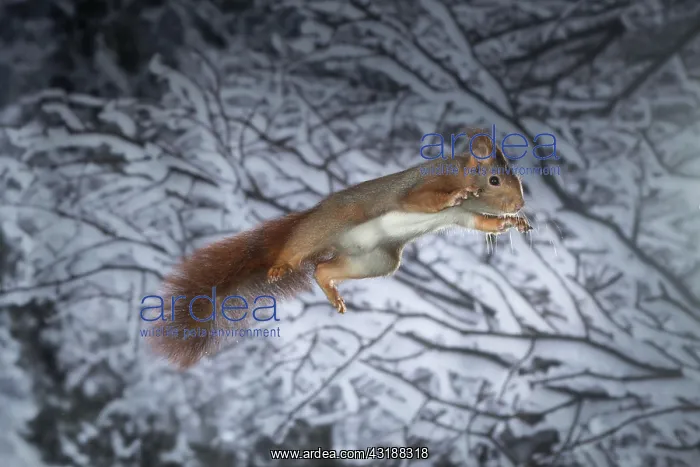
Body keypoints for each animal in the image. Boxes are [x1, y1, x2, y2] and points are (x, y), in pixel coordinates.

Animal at [148, 132, 531, 368]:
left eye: (516, 178)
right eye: (495, 180)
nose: (520, 203)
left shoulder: (465, 218)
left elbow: (481, 223)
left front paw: (514, 223)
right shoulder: (423, 185)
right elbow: (423, 199)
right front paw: (456, 196)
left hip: (374, 260)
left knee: (323, 269)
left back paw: (332, 292)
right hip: (323, 228)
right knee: (292, 251)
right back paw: (280, 266)